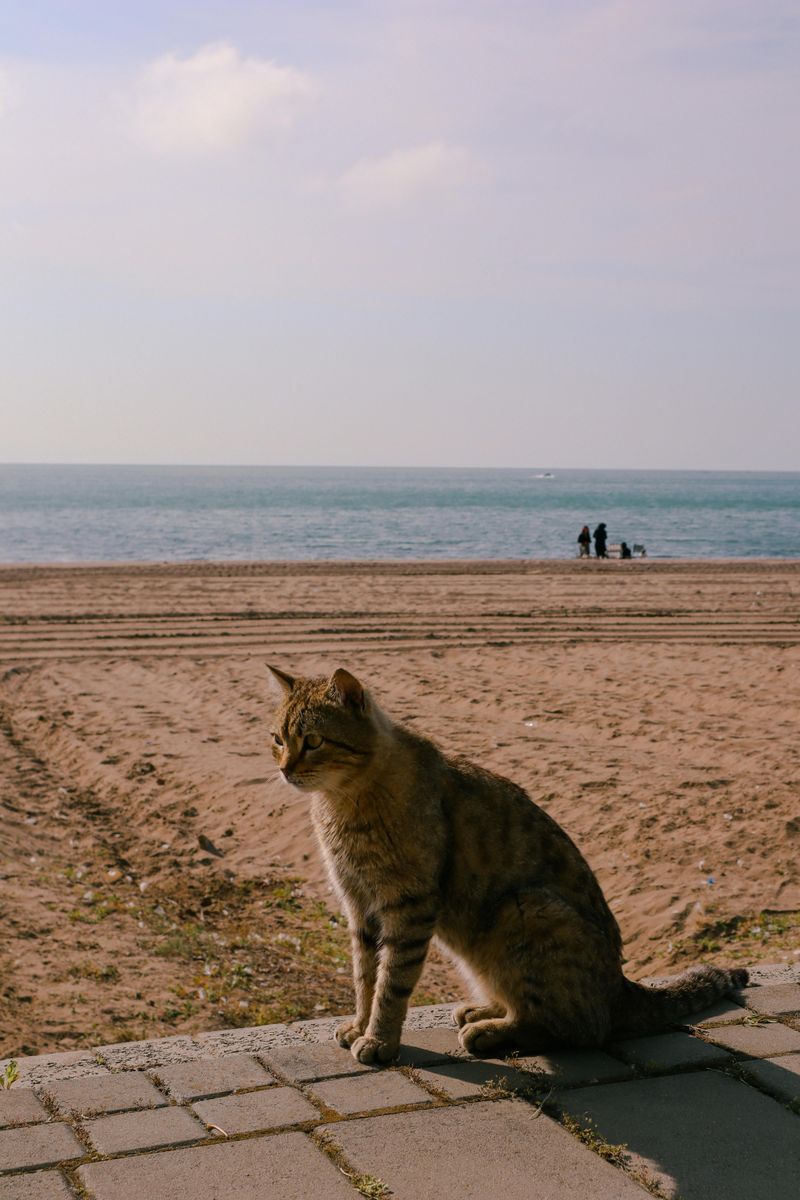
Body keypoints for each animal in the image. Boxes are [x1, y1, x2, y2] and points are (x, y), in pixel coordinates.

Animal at [268, 662, 753, 1065]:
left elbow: (392, 984)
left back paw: (491, 1032)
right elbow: (365, 977)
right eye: (278, 739)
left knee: (577, 1028)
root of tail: (621, 987)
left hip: (524, 909)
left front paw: (380, 1040)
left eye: (313, 741)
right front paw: (359, 1025)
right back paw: (482, 1010)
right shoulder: (359, 906)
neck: (343, 803)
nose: (285, 770)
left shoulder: (408, 906)